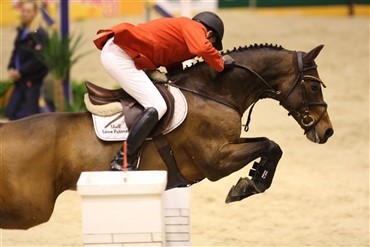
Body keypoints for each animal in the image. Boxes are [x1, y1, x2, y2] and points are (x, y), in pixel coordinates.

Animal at [0, 43, 334, 230]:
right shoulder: (216, 160)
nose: (327, 131)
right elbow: (270, 144)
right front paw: (249, 185)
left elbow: (271, 146)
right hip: (31, 209)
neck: (214, 93)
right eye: (313, 86)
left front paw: (252, 180)